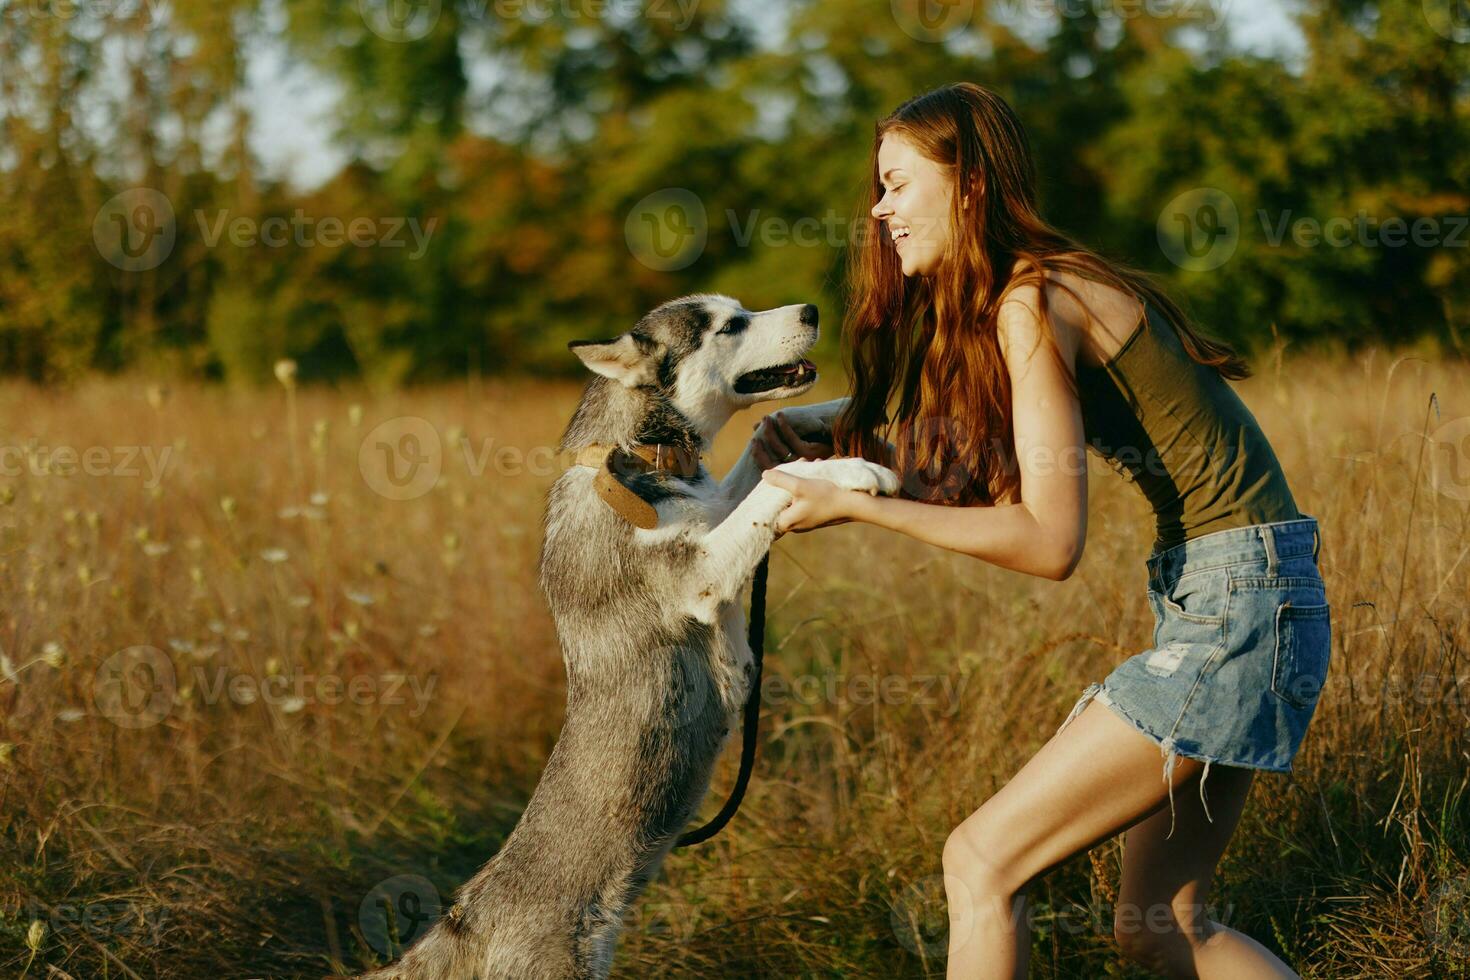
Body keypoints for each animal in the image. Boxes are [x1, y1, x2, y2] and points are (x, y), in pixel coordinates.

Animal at [360, 295, 899, 980]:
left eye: (743, 309)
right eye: (730, 325)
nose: (810, 309)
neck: (635, 453)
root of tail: (465, 920)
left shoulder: (715, 513)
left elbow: (767, 432)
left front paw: (843, 407)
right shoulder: (701, 575)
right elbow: (775, 487)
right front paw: (850, 467)